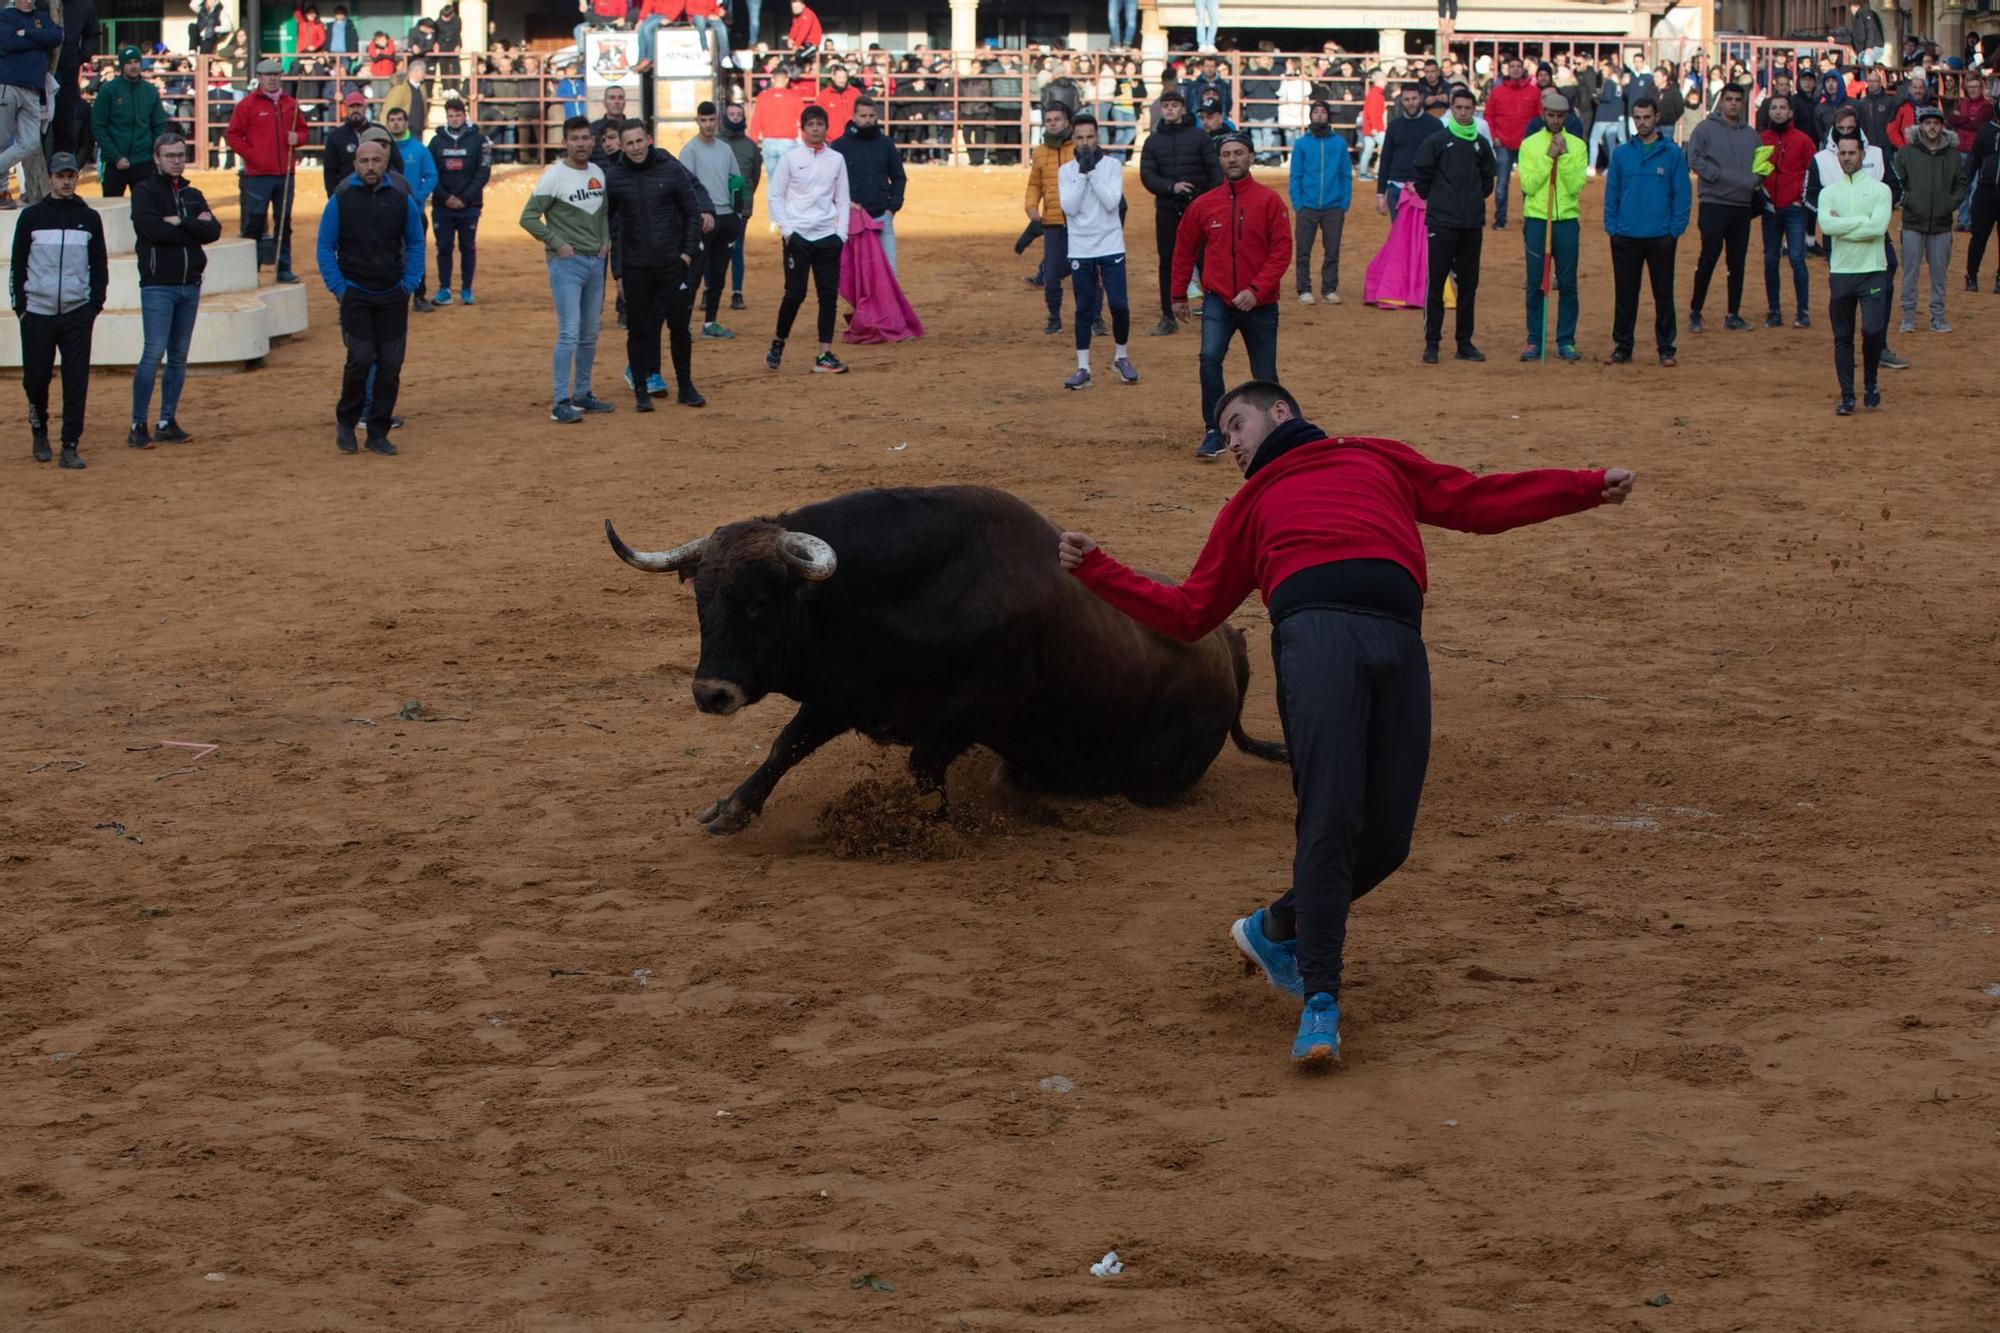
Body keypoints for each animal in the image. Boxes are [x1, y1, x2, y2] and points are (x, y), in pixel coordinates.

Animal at [604, 478, 1280, 832]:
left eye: (759, 602)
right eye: (702, 600)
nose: (710, 693)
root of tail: (1229, 643)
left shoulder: (984, 699)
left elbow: (924, 760)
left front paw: (923, 823)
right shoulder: (845, 691)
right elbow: (786, 745)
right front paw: (733, 808)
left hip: (1154, 775)